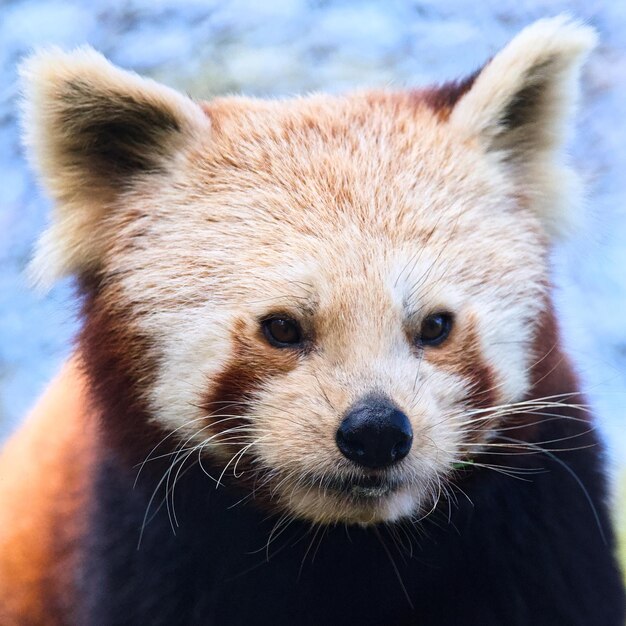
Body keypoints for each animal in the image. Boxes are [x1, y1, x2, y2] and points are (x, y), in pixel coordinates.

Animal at [1, 14, 624, 624]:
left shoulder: (542, 530)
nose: (377, 432)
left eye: (435, 326)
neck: (349, 548)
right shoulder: (141, 545)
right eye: (281, 328)